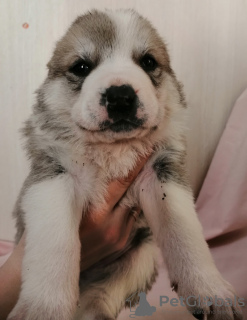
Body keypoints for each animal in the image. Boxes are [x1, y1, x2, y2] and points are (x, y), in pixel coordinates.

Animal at [8, 8, 242, 320]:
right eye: (81, 67)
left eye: (148, 62)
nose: (120, 96)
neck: (113, 149)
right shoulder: (52, 176)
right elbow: (55, 242)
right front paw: (44, 307)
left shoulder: (161, 173)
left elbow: (185, 232)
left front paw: (210, 289)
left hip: (140, 257)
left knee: (102, 294)